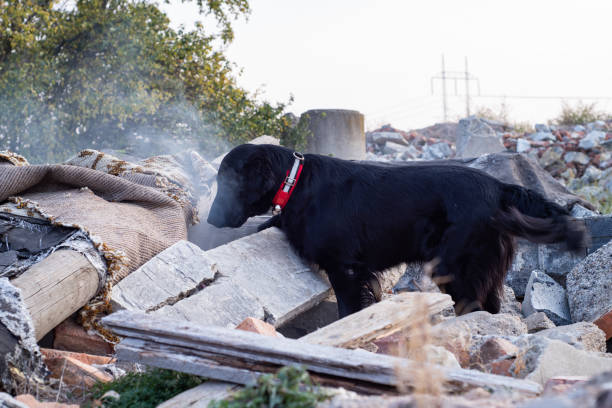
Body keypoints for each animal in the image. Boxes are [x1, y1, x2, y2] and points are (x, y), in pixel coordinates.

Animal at [208, 143, 592, 318]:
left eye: (226, 182)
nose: (210, 220)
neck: (296, 182)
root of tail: (499, 187)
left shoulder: (345, 268)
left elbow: (347, 308)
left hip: (457, 267)